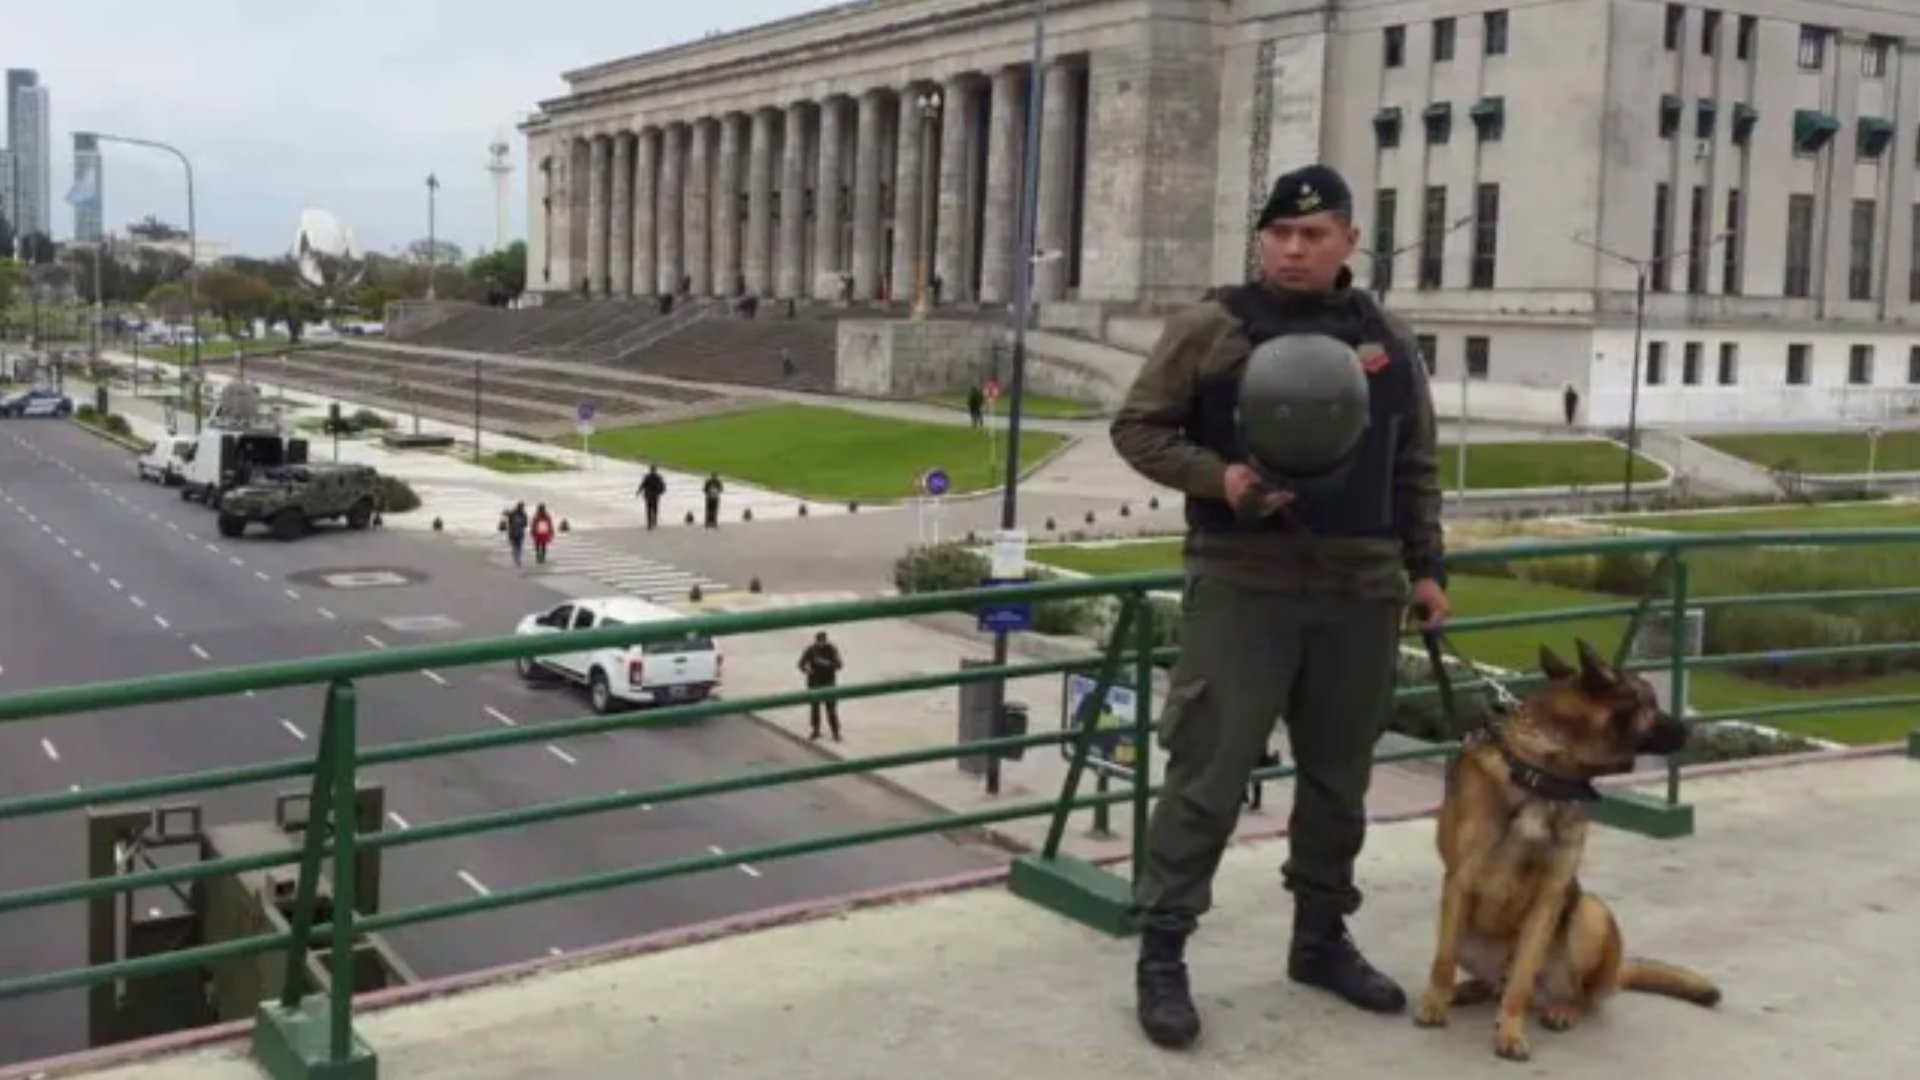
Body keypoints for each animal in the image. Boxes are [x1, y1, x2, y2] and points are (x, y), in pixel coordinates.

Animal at [1413, 634, 1728, 1053]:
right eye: (1650, 702)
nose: (1689, 728)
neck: (1543, 771)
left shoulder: (1549, 896)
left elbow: (1522, 978)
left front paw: (1510, 1032)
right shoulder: (1460, 880)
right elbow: (1443, 959)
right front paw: (1435, 1002)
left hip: (1591, 913)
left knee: (1581, 994)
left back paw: (1563, 1009)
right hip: (1459, 921)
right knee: (1491, 979)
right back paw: (1465, 990)